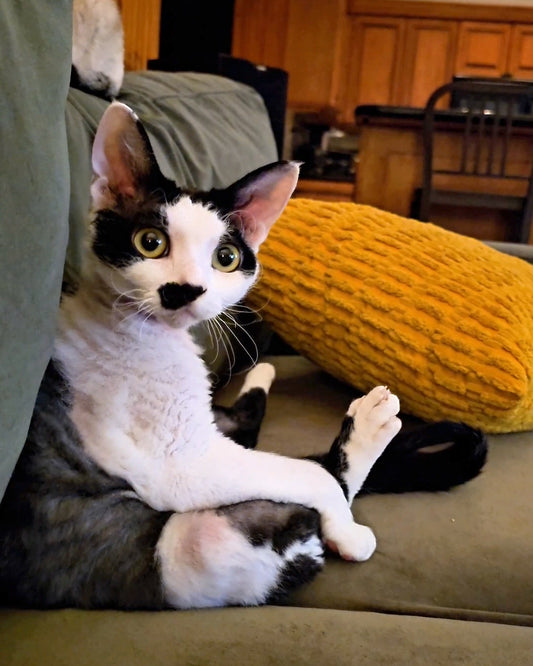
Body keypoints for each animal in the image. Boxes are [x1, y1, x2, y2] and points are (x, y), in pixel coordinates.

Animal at [0, 102, 486, 608]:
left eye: (226, 258)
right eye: (150, 243)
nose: (185, 290)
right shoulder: (180, 465)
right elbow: (312, 476)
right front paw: (347, 529)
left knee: (249, 423)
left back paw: (271, 375)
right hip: (201, 544)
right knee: (305, 481)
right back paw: (367, 440)